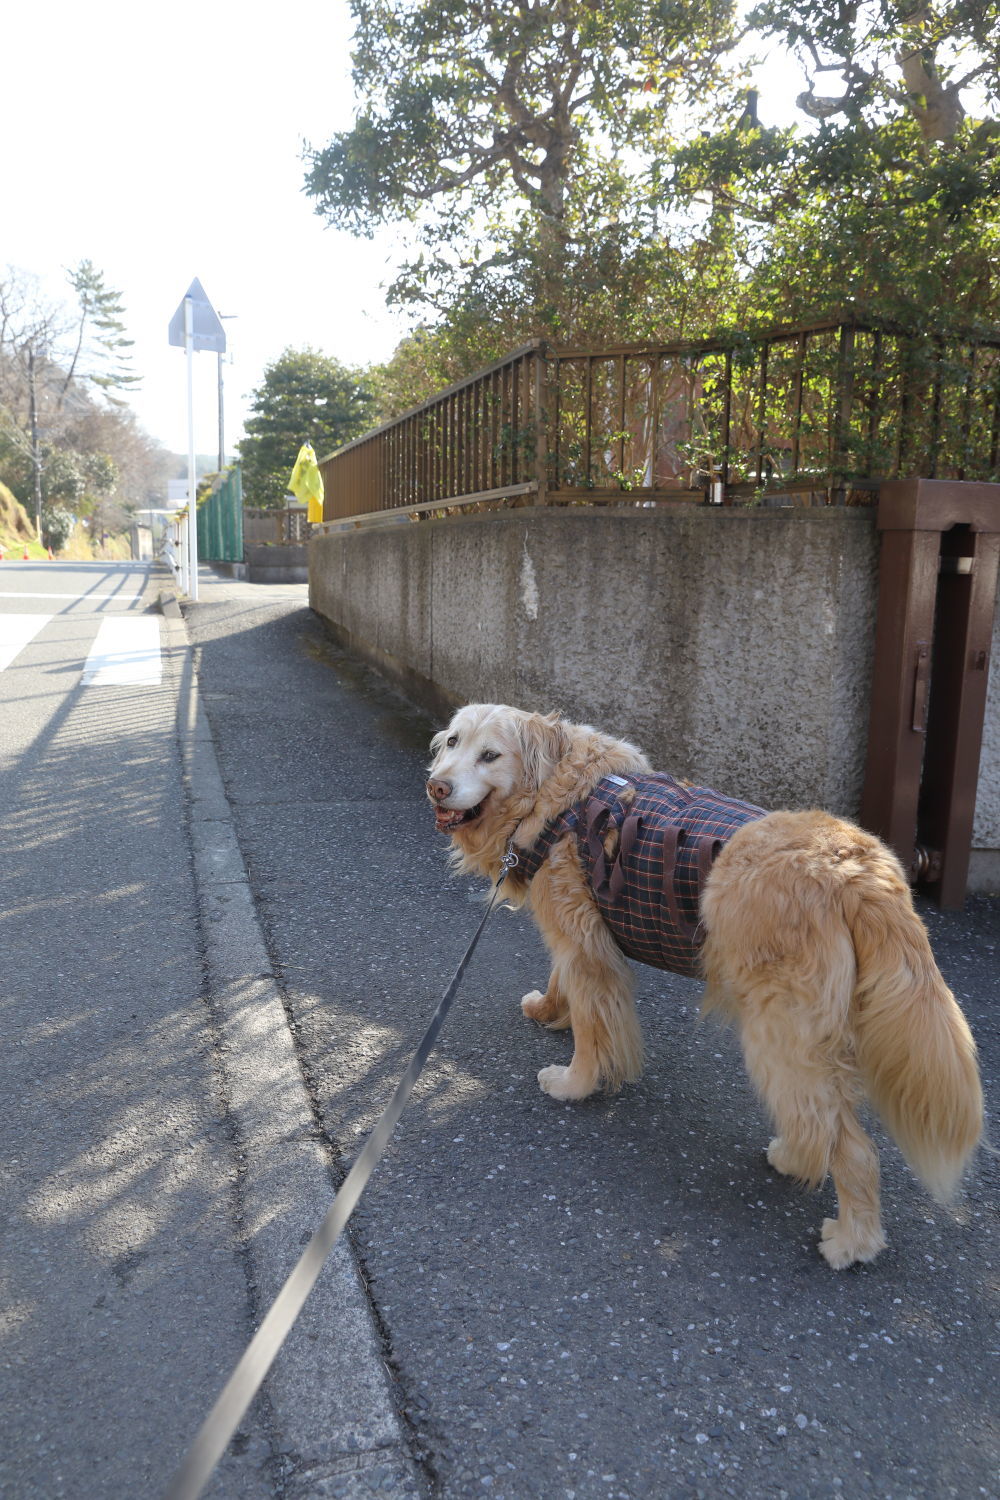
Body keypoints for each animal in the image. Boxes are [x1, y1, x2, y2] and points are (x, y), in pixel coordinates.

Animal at [425, 702, 983, 1266]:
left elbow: (592, 1029)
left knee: (849, 1144)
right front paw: (547, 1009)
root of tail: (858, 867)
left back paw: (851, 1238)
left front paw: (574, 1083)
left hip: (782, 1031)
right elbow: (566, 986)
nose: (437, 787)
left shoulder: (584, 946)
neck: (556, 794)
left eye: (491, 755)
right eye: (452, 743)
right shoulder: (581, 934)